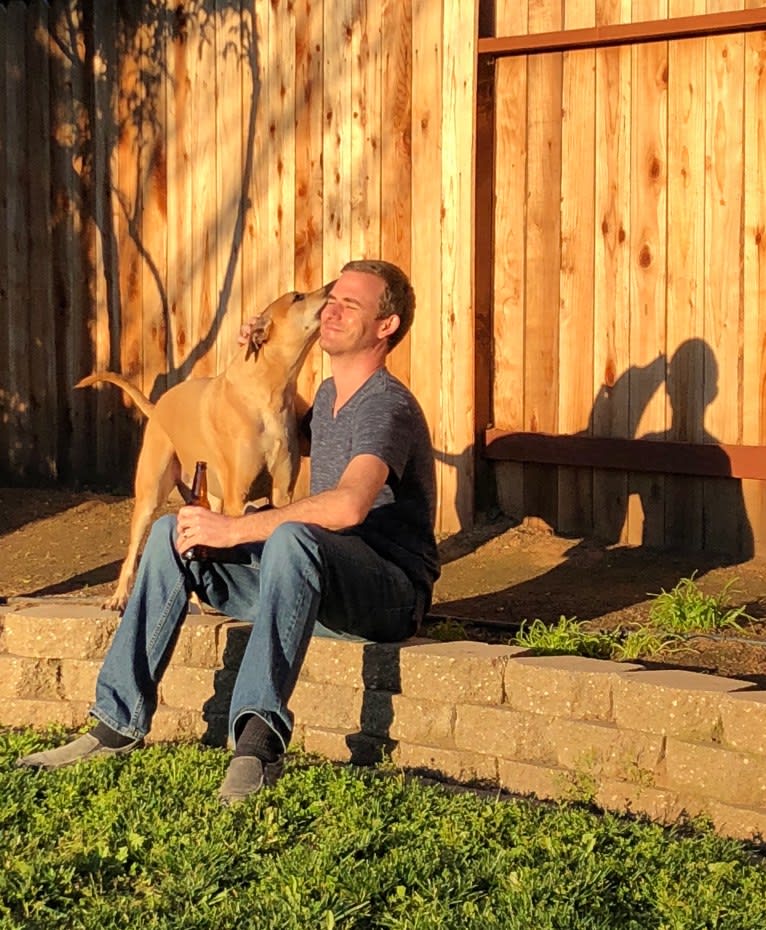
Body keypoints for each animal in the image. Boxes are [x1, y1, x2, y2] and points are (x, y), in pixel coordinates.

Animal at [76, 280, 336, 612]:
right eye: (297, 297)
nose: (333, 285)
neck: (269, 390)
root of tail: (158, 405)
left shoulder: (281, 491)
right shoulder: (238, 495)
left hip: (209, 495)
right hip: (151, 491)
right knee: (134, 550)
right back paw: (121, 596)